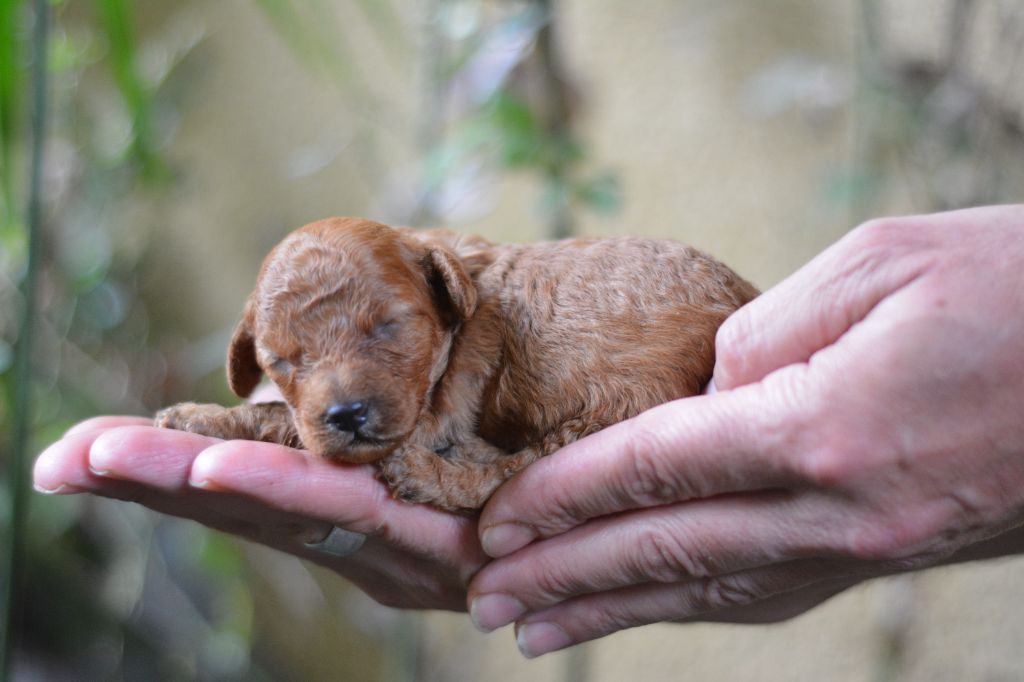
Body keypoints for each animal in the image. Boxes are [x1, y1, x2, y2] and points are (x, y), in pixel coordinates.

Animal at [153, 218, 761, 509]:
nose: (346, 415)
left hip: (613, 406)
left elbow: (275, 416)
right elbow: (286, 413)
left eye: (390, 326)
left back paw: (429, 476)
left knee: (509, 475)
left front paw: (197, 415)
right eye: (281, 359)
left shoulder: (437, 410)